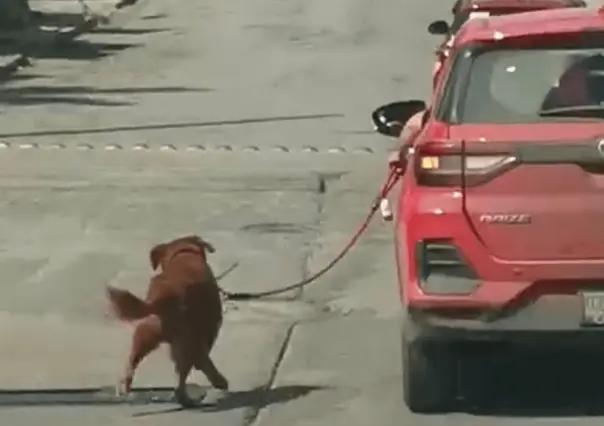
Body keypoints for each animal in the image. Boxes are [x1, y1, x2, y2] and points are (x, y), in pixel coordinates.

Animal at [106, 236, 229, 406]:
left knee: (131, 363)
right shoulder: (210, 328)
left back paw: (125, 387)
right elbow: (203, 356)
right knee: (187, 372)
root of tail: (165, 298)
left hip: (144, 333)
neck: (182, 253)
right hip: (186, 343)